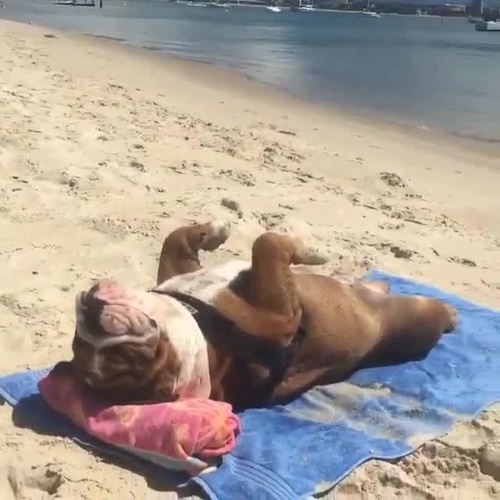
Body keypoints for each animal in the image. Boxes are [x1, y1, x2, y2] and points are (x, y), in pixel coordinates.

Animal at [70, 221, 457, 410]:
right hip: (415, 318)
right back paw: (452, 315)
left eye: (78, 341)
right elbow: (267, 243)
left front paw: (214, 231)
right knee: (428, 311)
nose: (92, 313)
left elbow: (176, 238)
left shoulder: (178, 269)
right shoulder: (281, 319)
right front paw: (310, 252)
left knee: (375, 286)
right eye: (128, 355)